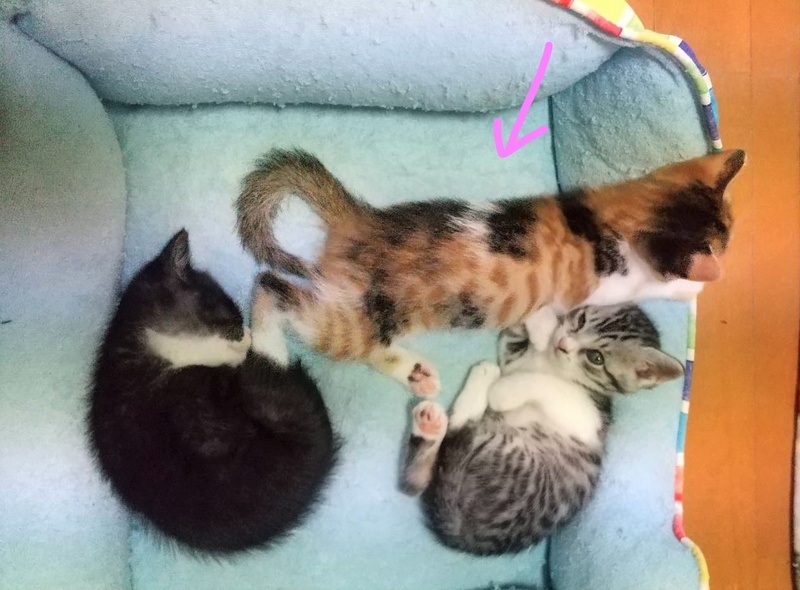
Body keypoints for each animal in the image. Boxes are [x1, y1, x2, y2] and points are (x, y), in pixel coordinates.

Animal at [236, 148, 743, 396]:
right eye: (723, 242)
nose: (729, 250)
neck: (602, 217)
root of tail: (358, 217)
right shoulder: (599, 284)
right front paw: (698, 286)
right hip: (354, 313)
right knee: (270, 286)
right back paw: (269, 350)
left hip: (371, 313)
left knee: (366, 345)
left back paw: (415, 373)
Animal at [401, 303, 684, 555]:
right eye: (581, 320)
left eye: (596, 357)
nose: (563, 344)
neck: (551, 363)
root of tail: (465, 536)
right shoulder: (512, 356)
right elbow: (512, 339)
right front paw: (543, 319)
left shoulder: (588, 417)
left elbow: (552, 386)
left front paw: (505, 390)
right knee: (417, 480)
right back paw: (428, 427)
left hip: (507, 455)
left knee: (460, 432)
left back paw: (480, 380)